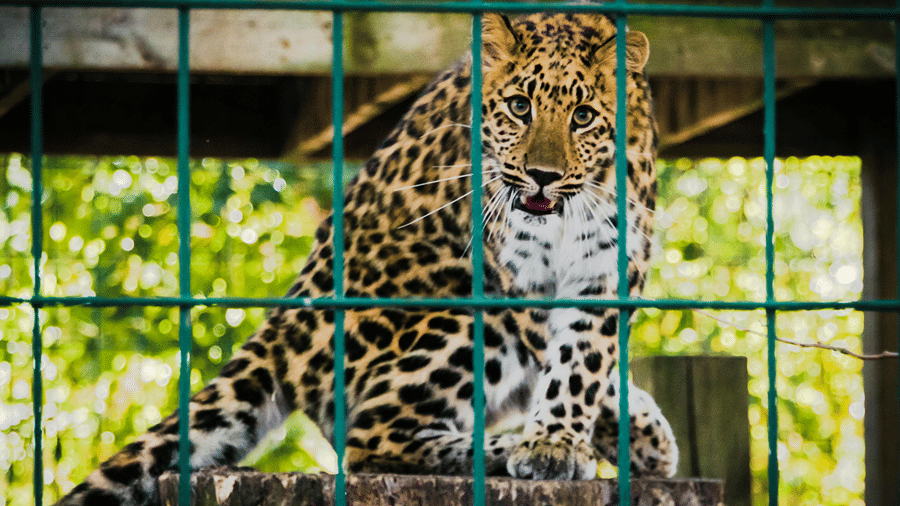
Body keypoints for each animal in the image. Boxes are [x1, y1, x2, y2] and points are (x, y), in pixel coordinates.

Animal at [55, 11, 677, 506]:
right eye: (519, 107)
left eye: (583, 117)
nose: (542, 176)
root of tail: (284, 322)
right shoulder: (512, 276)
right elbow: (571, 358)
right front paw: (558, 446)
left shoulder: (609, 263)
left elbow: (587, 357)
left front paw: (585, 439)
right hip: (452, 304)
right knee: (369, 435)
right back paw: (499, 450)